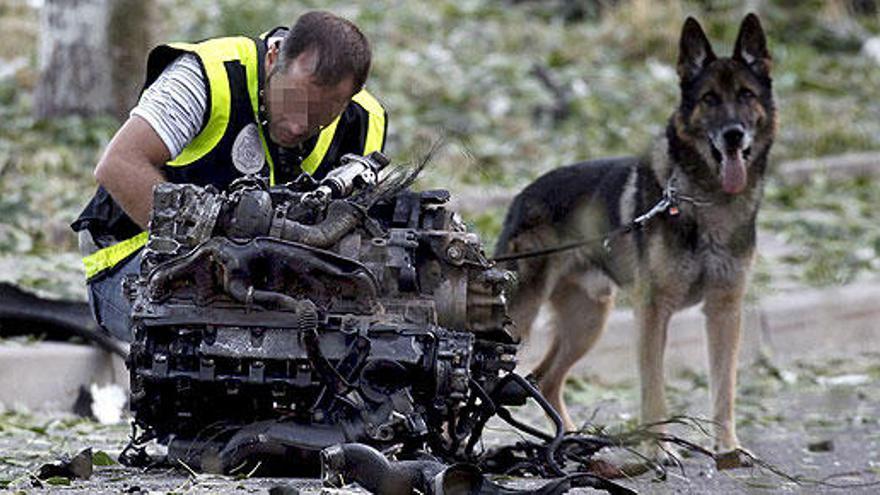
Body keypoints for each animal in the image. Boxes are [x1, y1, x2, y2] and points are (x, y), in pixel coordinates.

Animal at [496, 12, 776, 462]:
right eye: (710, 99)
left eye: (746, 95)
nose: (733, 135)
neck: (706, 200)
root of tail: (521, 196)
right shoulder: (653, 312)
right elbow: (654, 390)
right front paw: (658, 451)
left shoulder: (725, 310)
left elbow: (725, 387)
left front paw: (728, 448)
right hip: (524, 318)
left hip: (589, 321)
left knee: (544, 379)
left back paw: (569, 444)